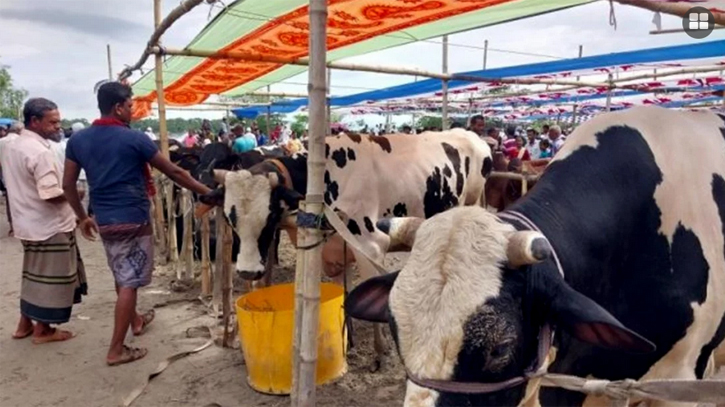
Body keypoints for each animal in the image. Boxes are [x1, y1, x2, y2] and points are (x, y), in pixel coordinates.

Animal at [202, 129, 492, 364]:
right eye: (229, 215)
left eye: (270, 215)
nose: (248, 271)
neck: (323, 176)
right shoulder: (335, 249)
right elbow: (345, 294)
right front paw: (348, 341)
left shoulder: (371, 244)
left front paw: (380, 351)